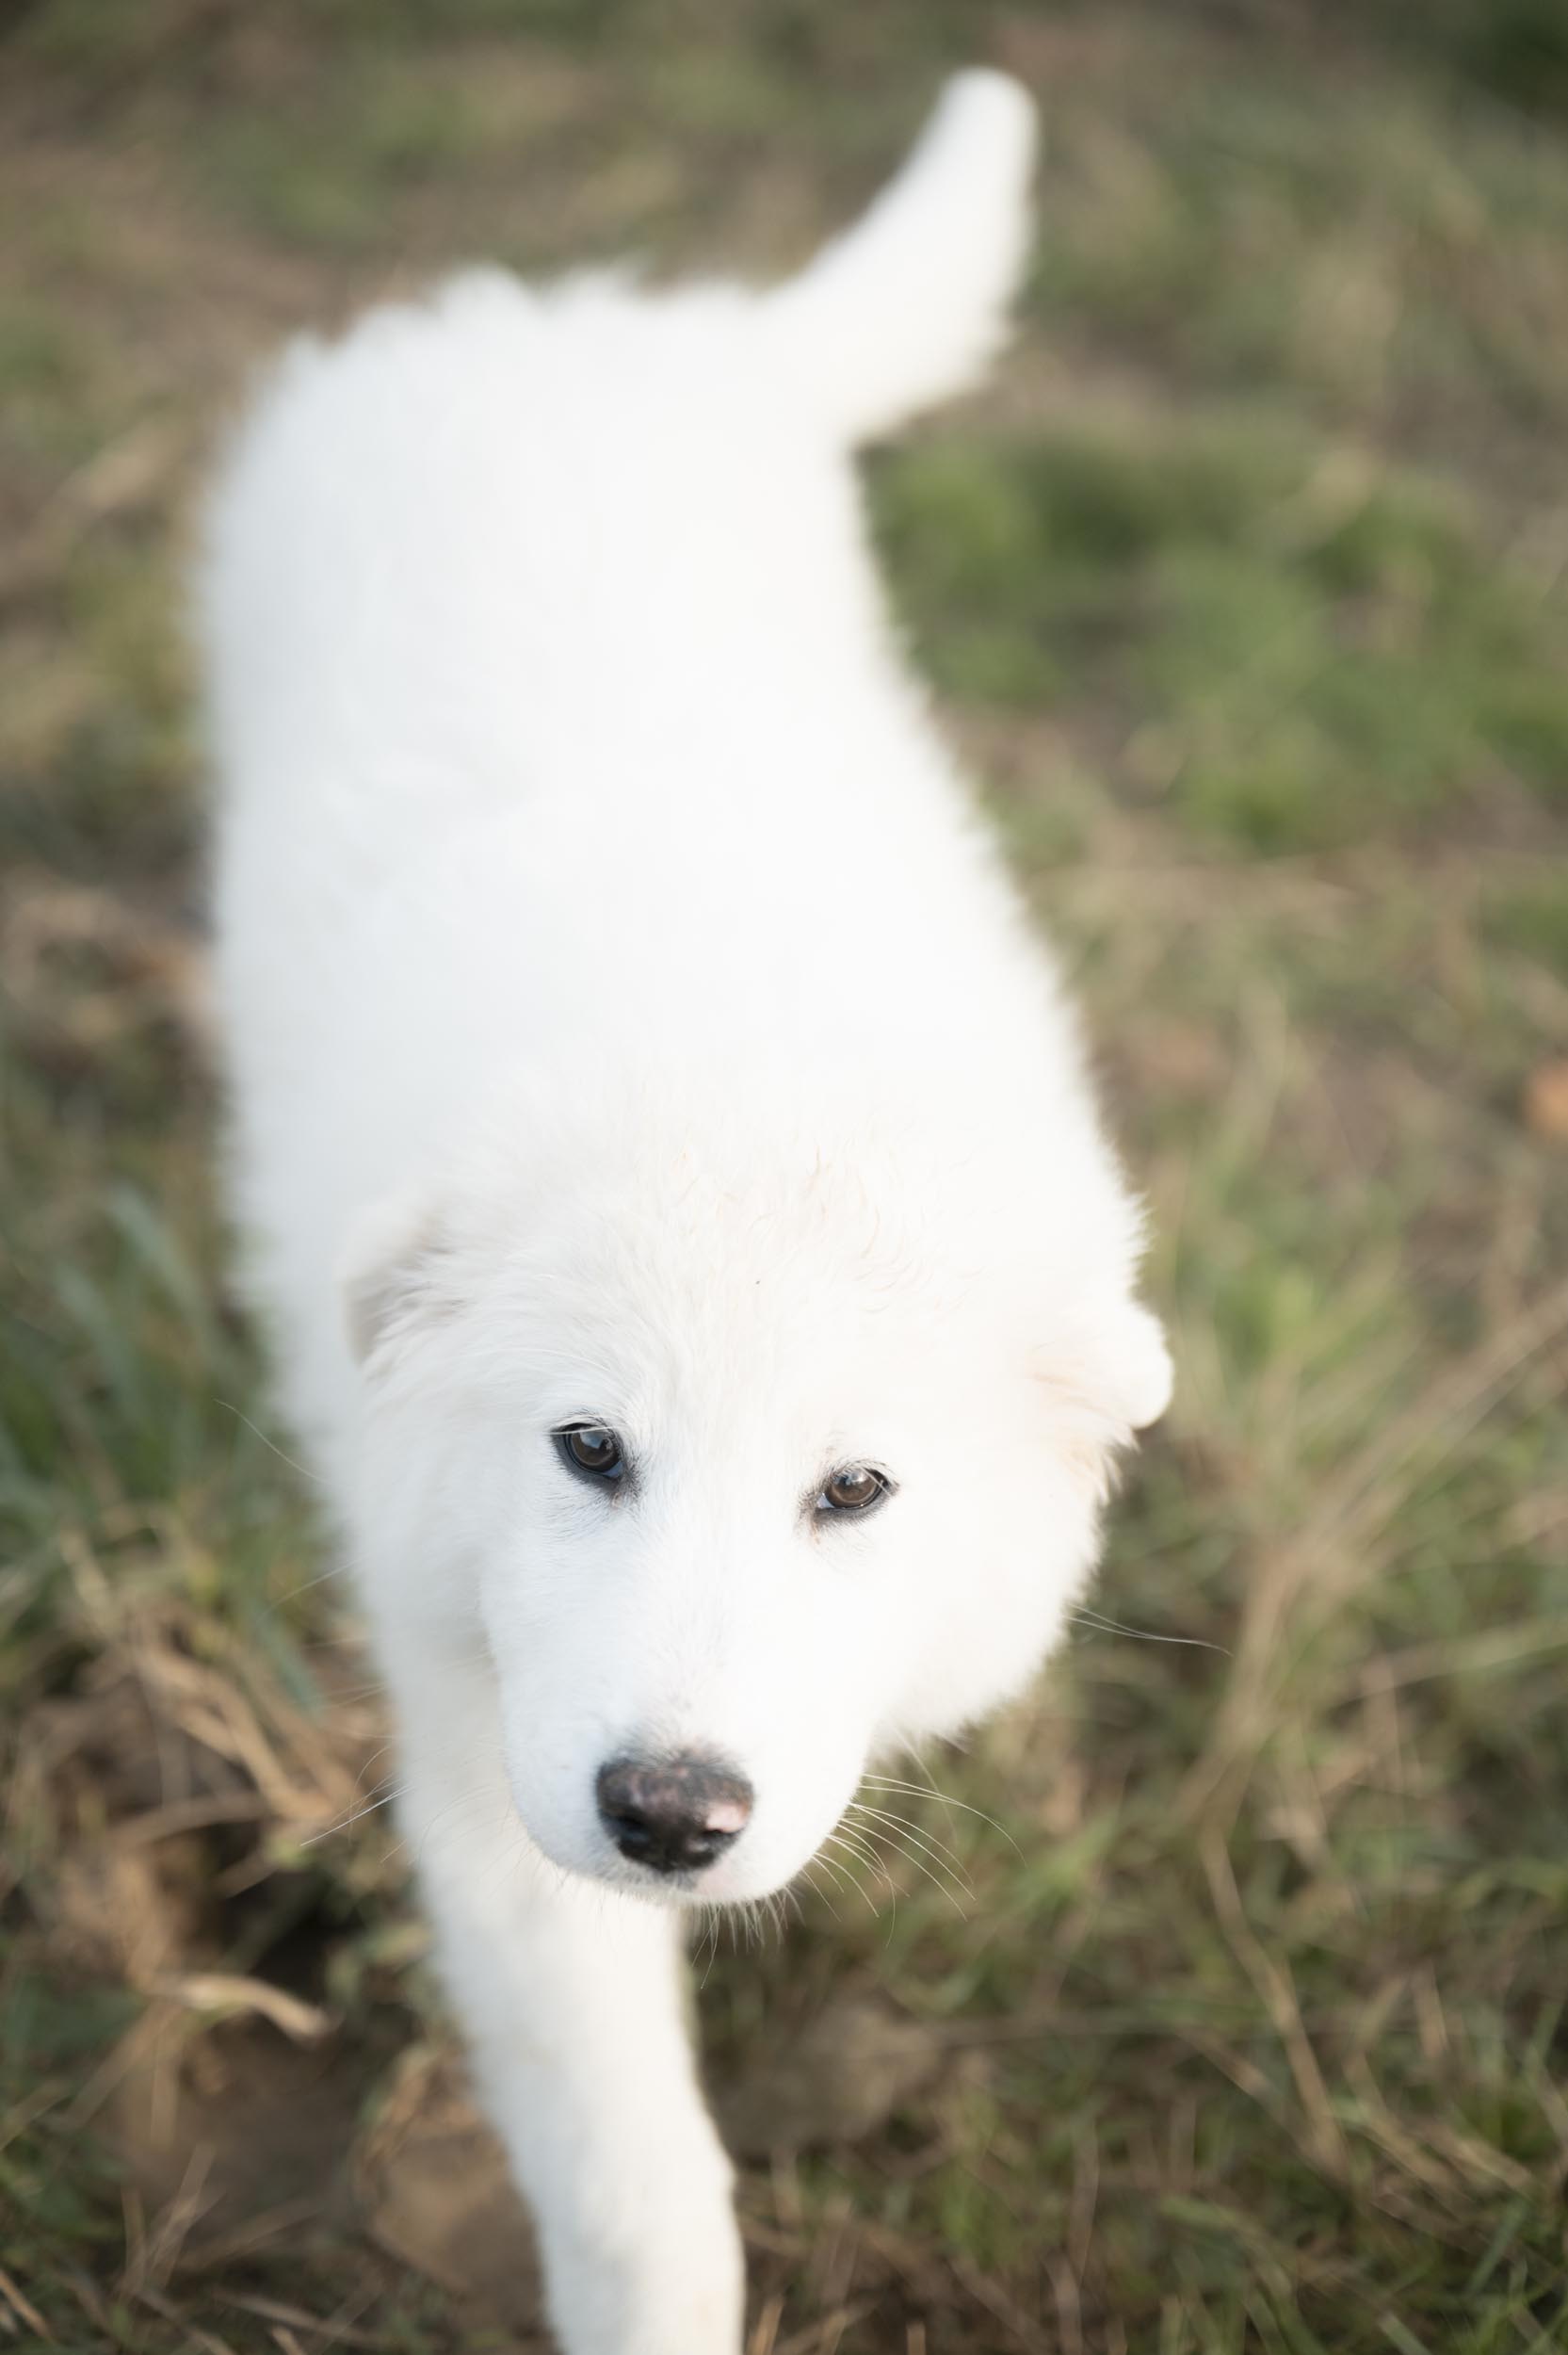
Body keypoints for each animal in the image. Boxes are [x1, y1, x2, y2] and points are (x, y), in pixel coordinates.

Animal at [199, 69, 1158, 2355]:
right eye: (587, 1449)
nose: (671, 1814)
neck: (742, 1063)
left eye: (855, 1492)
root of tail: (592, 322)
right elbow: (628, 2152)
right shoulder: (481, 1728)